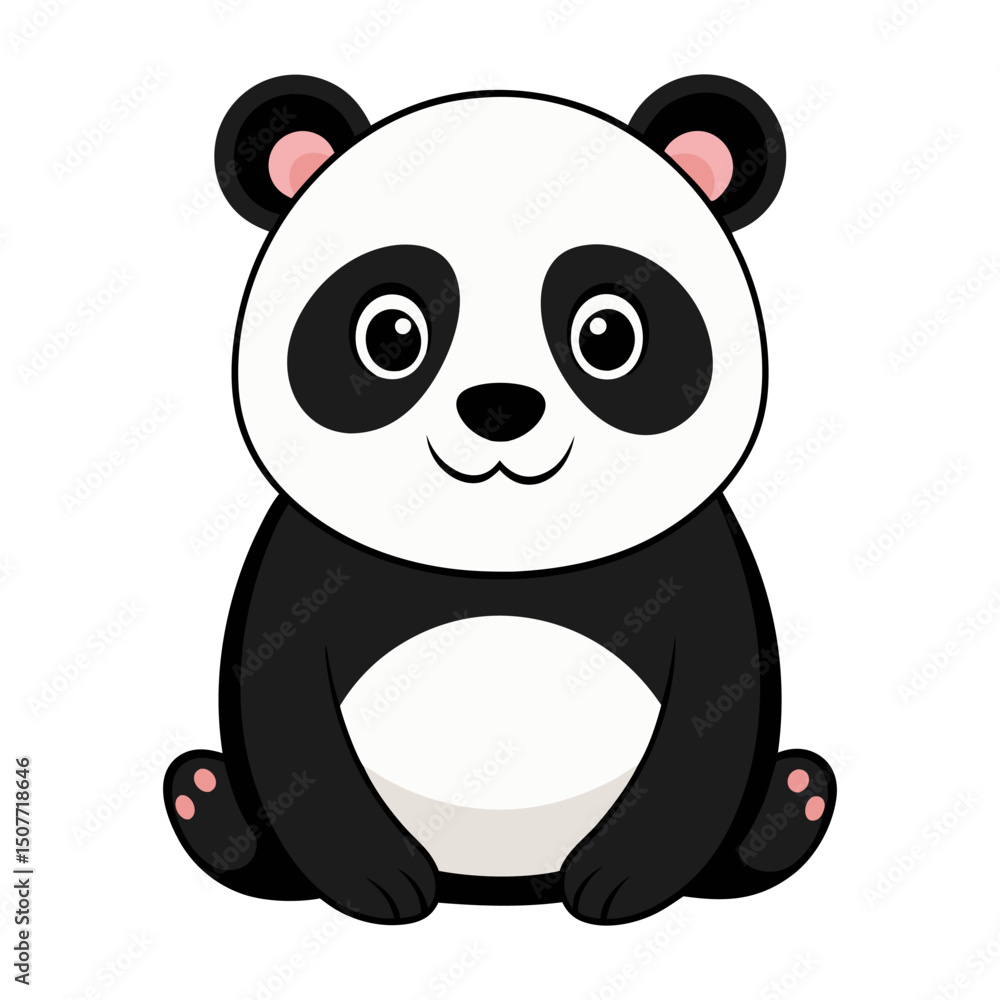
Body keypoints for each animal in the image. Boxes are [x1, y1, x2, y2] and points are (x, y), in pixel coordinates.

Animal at [165, 74, 836, 925]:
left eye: (608, 335)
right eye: (391, 334)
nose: (499, 407)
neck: (504, 556)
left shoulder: (691, 554)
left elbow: (714, 703)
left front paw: (621, 879)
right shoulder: (312, 555)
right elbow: (286, 705)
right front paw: (378, 880)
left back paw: (797, 800)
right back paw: (202, 800)